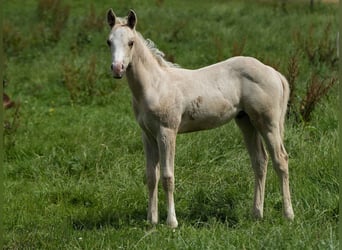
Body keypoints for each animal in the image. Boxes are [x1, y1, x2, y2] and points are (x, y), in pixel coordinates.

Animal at [106, 9, 294, 229]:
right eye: (109, 42)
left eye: (131, 42)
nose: (117, 69)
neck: (155, 86)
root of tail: (273, 72)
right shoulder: (148, 135)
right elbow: (151, 176)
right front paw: (151, 221)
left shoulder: (167, 132)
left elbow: (167, 177)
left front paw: (172, 222)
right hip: (246, 121)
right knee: (260, 162)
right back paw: (257, 214)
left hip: (268, 123)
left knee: (280, 160)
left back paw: (288, 214)